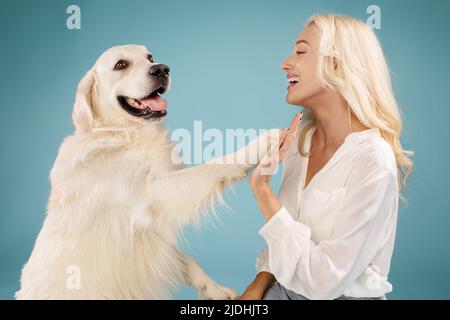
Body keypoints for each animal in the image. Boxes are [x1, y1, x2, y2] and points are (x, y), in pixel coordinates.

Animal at [15, 43, 278, 298]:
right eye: (121, 64)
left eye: (150, 57)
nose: (161, 69)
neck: (123, 135)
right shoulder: (149, 197)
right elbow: (212, 167)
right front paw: (258, 144)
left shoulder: (153, 228)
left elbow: (182, 259)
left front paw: (215, 290)